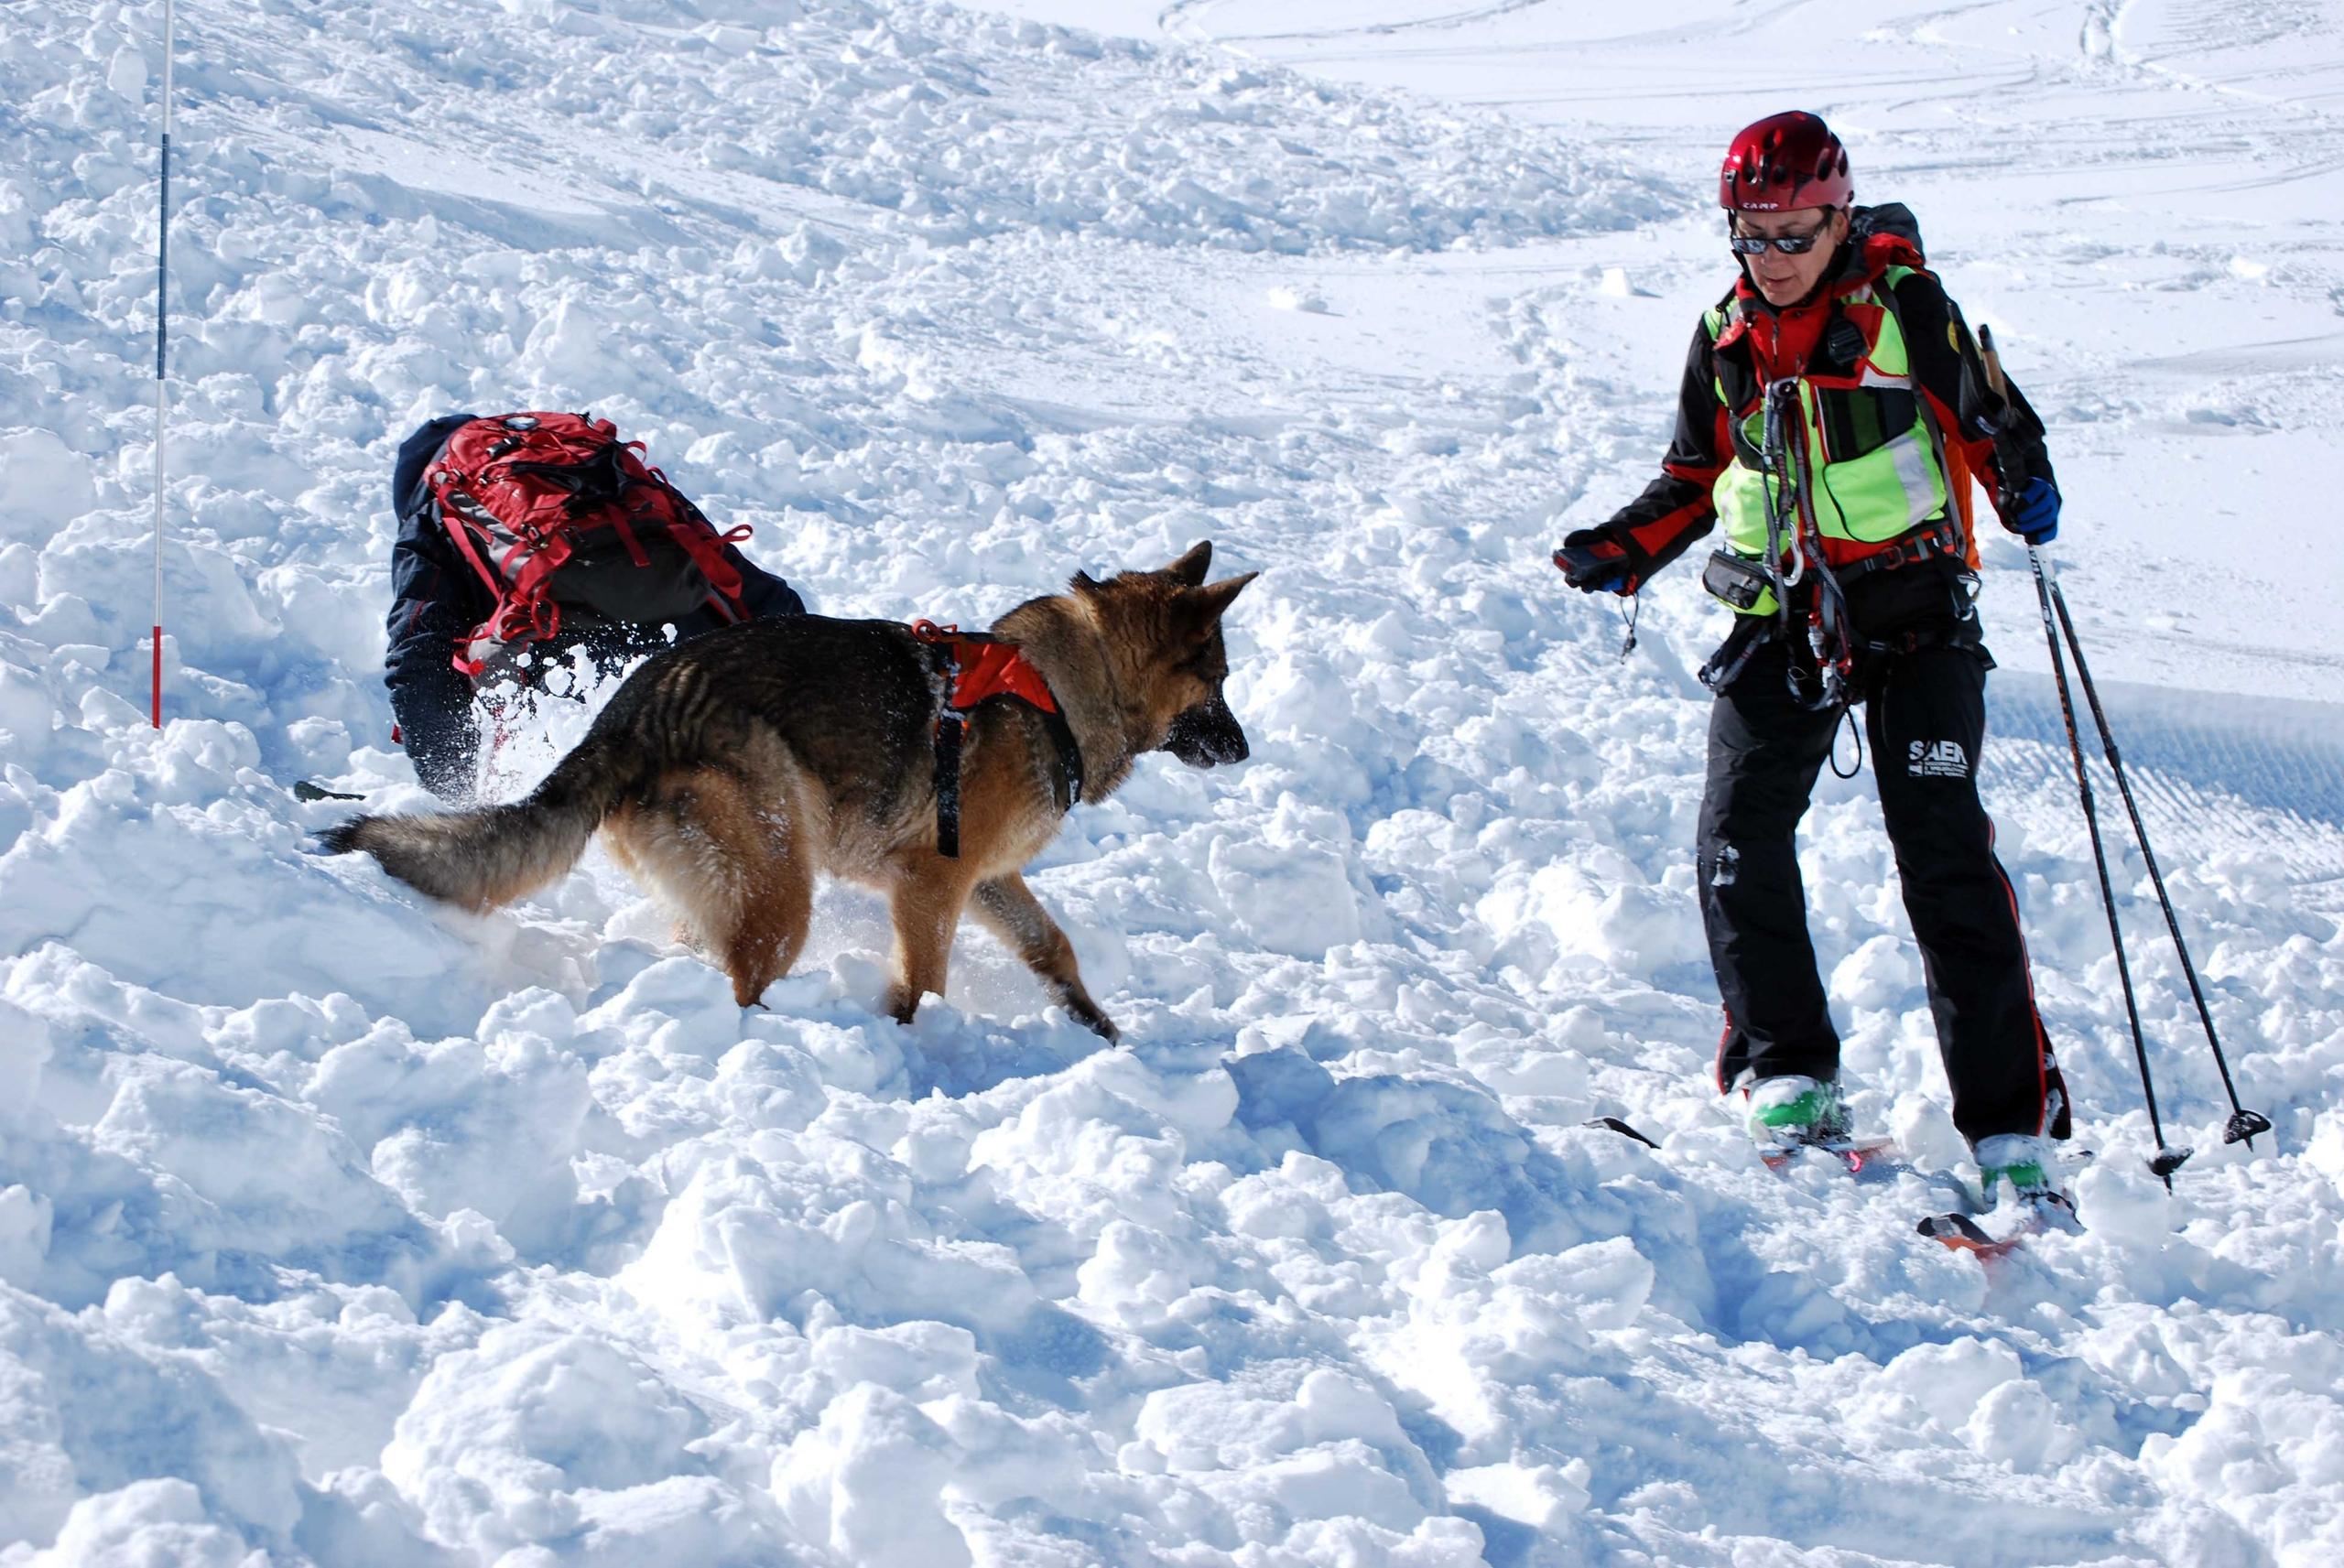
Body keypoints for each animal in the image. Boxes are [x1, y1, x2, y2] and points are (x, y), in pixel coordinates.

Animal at [325, 544, 1265, 1031]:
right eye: (1218, 681)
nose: (1245, 749)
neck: (1059, 689)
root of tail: (628, 715)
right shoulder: (933, 883)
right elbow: (924, 984)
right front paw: (910, 1042)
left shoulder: (988, 879)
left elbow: (1053, 948)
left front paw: (1093, 1024)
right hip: (783, 881)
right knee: (747, 978)